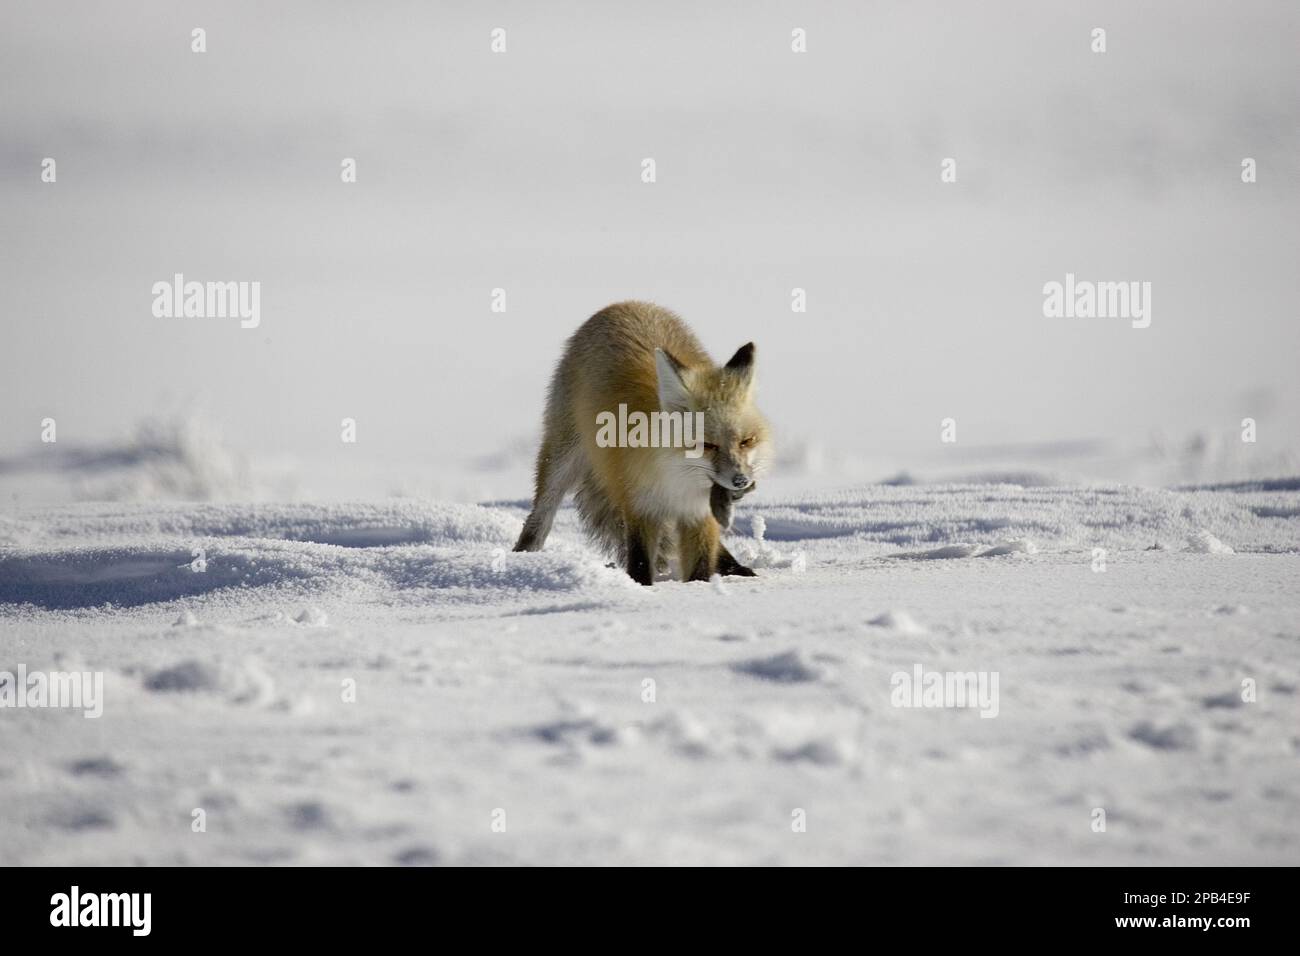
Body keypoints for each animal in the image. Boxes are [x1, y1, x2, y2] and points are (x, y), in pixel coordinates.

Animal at [509, 300, 769, 582]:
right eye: (707, 445)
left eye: (746, 441)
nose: (741, 481)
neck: (677, 480)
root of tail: (624, 304)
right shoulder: (638, 504)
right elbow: (640, 560)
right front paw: (641, 587)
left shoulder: (698, 514)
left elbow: (700, 564)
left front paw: (699, 586)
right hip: (562, 460)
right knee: (539, 517)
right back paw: (524, 559)